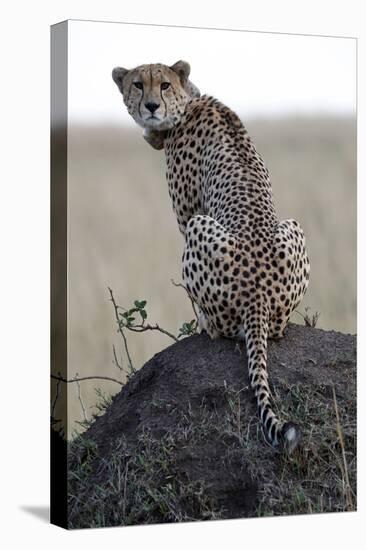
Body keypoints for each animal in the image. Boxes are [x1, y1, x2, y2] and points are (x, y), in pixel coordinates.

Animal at [111, 61, 308, 458]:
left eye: (164, 85)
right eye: (138, 84)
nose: (151, 106)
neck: (188, 102)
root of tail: (258, 297)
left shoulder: (188, 214)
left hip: (201, 227)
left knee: (220, 327)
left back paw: (204, 324)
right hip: (293, 226)